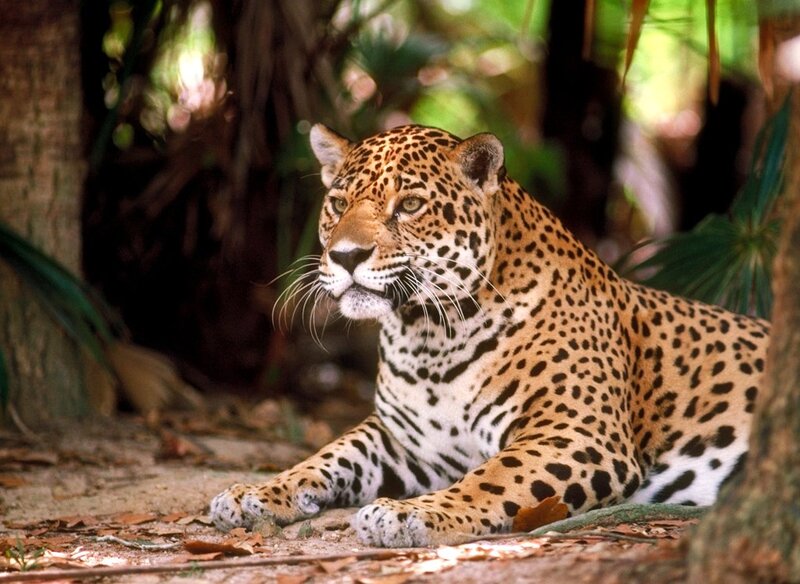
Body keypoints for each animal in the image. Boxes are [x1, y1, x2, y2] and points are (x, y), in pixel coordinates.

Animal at [210, 124, 769, 548]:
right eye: (339, 203)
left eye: (409, 205)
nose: (346, 256)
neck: (429, 338)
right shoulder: (403, 440)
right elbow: (329, 455)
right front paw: (256, 494)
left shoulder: (576, 433)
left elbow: (493, 478)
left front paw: (412, 515)